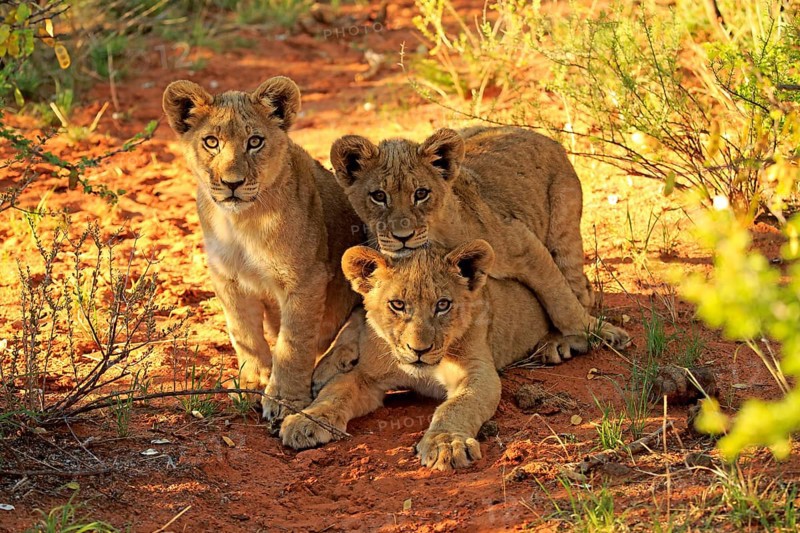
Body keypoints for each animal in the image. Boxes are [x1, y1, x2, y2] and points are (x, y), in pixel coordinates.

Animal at [162, 77, 365, 422]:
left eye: (255, 141)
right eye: (211, 142)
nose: (232, 183)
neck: (242, 223)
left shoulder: (305, 280)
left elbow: (293, 345)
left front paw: (284, 399)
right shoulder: (227, 279)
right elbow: (244, 334)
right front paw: (253, 381)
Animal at [281, 239, 583, 470]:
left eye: (443, 305)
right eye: (397, 305)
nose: (419, 350)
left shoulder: (478, 370)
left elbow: (458, 405)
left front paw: (445, 443)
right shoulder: (368, 376)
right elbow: (336, 392)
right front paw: (305, 421)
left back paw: (556, 345)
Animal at [329, 126, 630, 361]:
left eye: (421, 193)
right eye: (379, 196)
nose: (403, 236)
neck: (431, 242)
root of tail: (544, 136)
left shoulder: (522, 242)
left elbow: (560, 298)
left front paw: (601, 331)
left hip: (563, 229)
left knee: (579, 289)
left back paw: (563, 341)